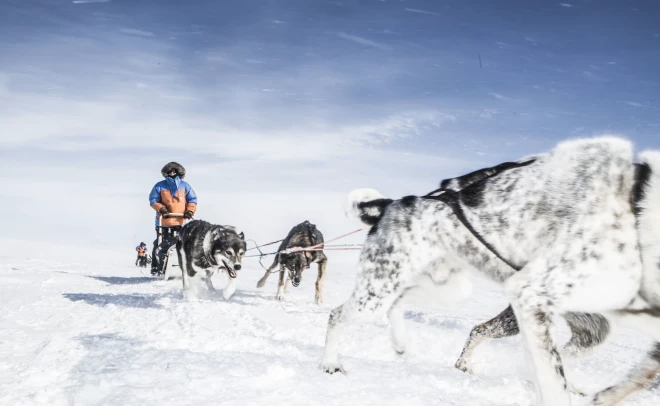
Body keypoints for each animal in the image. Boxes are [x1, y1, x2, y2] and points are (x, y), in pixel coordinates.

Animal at [320, 136, 660, 406]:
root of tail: (392, 204)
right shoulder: (530, 297)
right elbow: (553, 382)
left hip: (450, 291)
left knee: (398, 303)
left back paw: (402, 344)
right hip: (376, 294)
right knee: (337, 315)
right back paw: (330, 363)